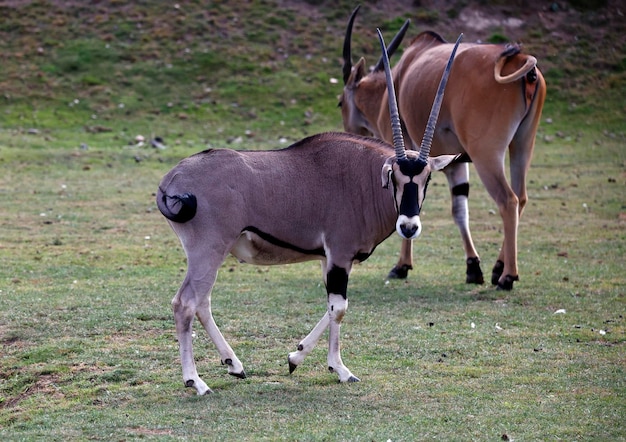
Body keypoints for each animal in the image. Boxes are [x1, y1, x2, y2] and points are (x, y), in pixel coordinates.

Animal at [155, 32, 458, 398]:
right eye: (395, 176)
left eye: (426, 177)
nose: (409, 225)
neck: (363, 178)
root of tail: (172, 178)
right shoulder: (340, 255)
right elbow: (340, 308)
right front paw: (336, 368)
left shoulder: (329, 259)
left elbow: (331, 307)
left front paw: (299, 358)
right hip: (208, 250)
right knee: (185, 304)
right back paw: (195, 381)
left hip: (210, 253)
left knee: (201, 303)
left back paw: (234, 365)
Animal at [338, 6, 544, 292]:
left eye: (340, 103)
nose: (349, 131)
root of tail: (522, 61)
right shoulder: (456, 162)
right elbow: (459, 210)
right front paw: (473, 268)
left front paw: (401, 266)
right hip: (523, 145)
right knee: (521, 197)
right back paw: (498, 268)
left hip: (486, 156)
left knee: (508, 200)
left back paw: (507, 276)